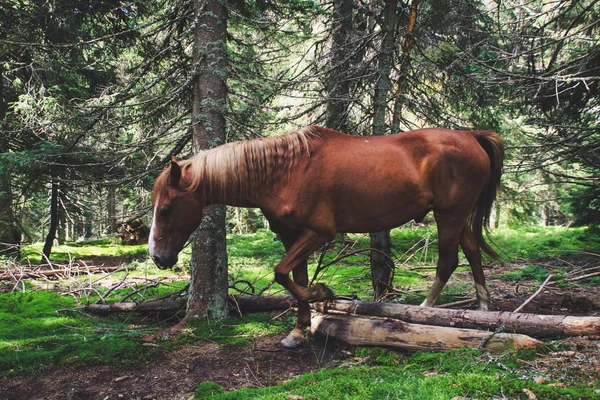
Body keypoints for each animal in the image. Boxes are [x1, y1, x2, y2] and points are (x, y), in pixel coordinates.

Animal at [148, 125, 504, 346]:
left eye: (164, 209)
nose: (157, 257)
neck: (285, 172)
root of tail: (471, 135)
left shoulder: (318, 232)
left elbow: (282, 274)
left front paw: (323, 293)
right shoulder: (291, 236)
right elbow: (294, 280)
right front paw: (299, 330)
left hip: (449, 214)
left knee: (448, 261)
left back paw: (425, 311)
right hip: (455, 216)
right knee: (472, 251)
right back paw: (483, 307)